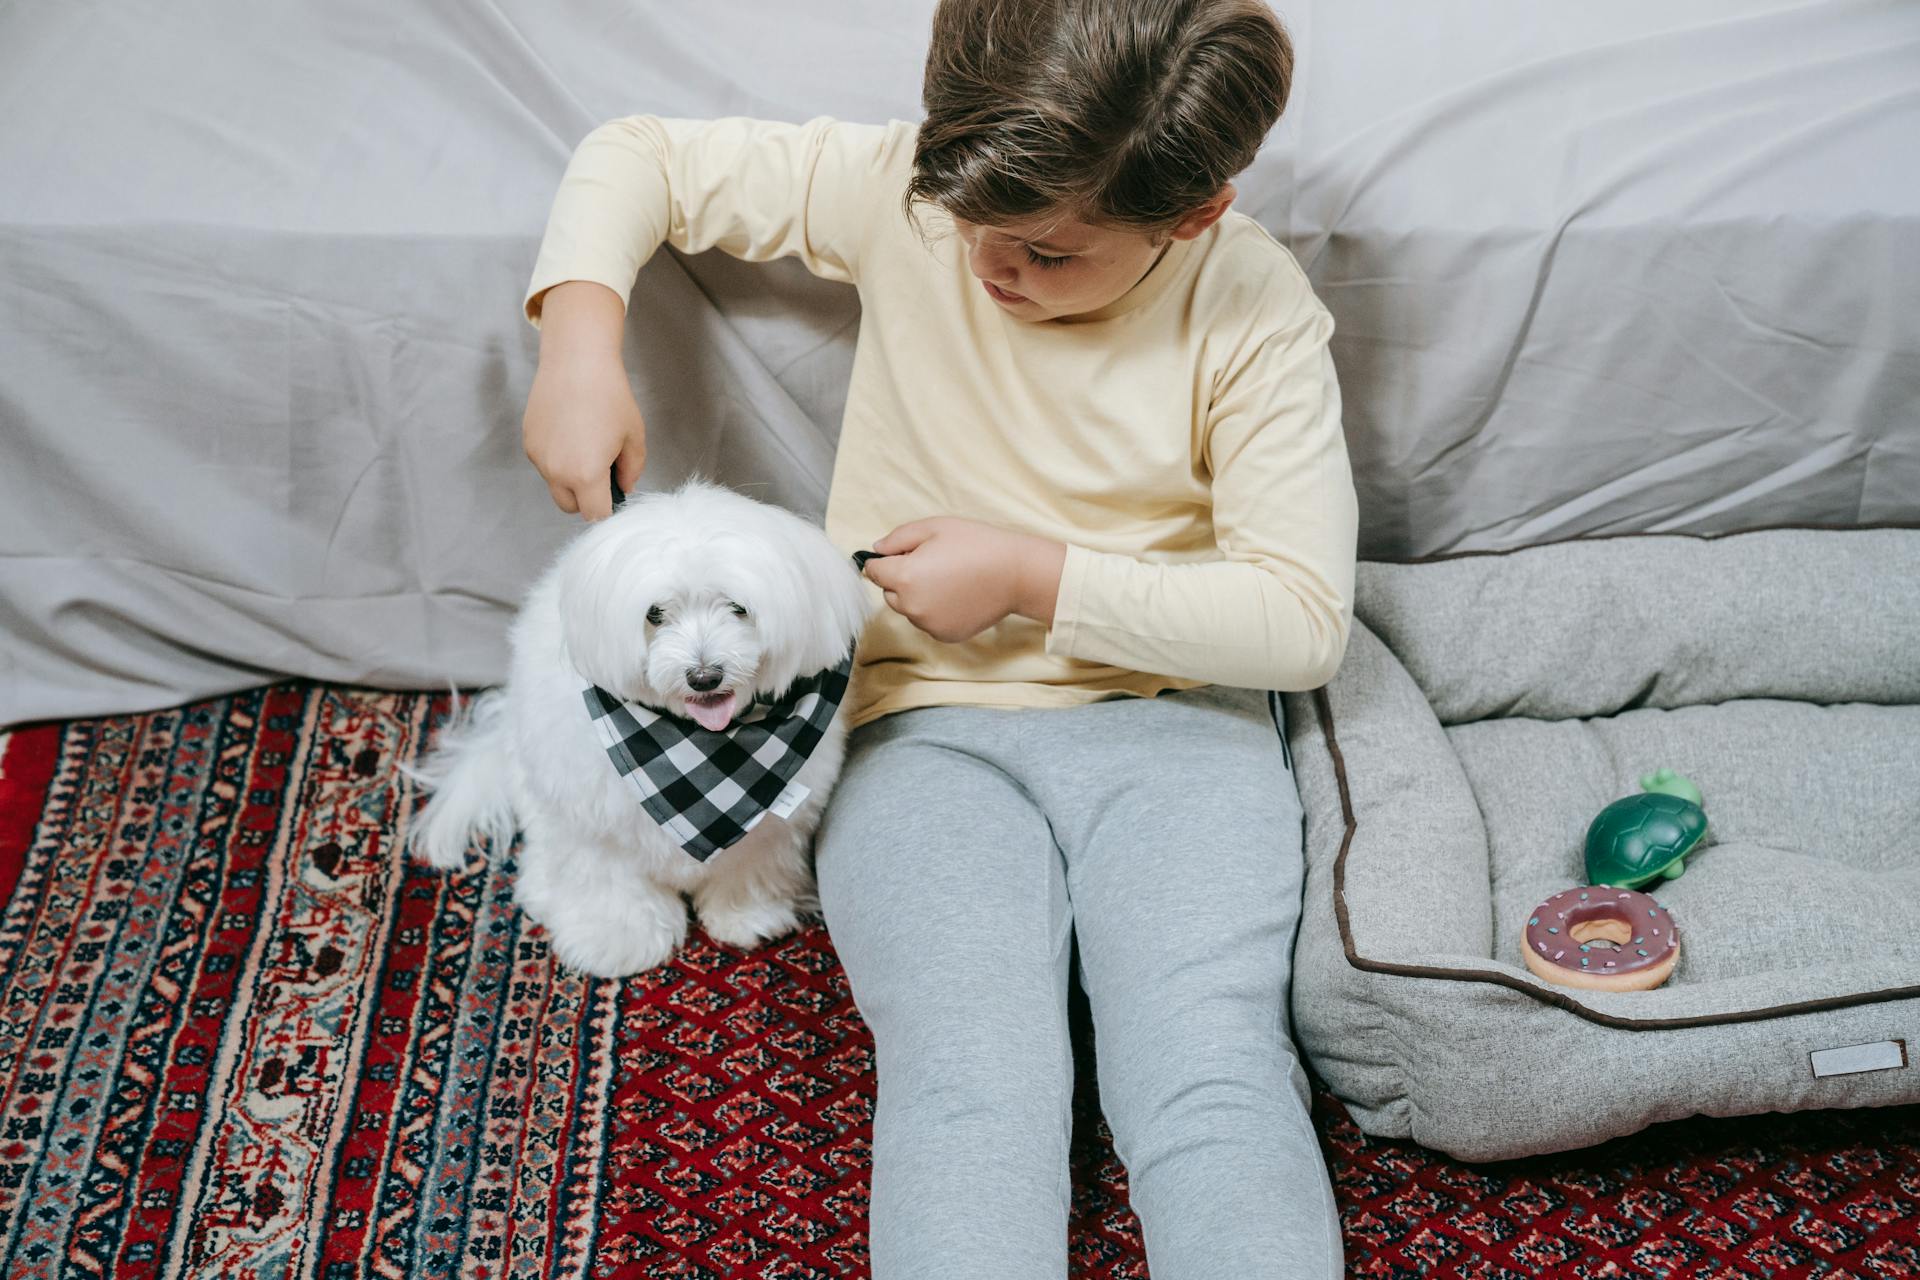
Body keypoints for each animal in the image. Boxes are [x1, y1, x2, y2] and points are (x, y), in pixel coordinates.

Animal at [416, 485, 875, 974]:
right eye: (654, 614)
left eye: (738, 608)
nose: (704, 676)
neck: (703, 762)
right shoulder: (595, 819)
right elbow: (608, 880)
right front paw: (618, 937)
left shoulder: (769, 826)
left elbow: (750, 864)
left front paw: (749, 914)